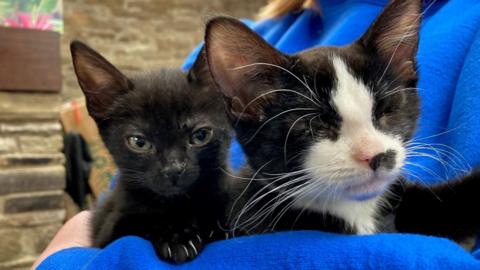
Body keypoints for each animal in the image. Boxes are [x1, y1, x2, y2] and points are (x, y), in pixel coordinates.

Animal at [70, 42, 232, 264]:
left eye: (201, 135)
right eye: (139, 142)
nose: (173, 169)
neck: (178, 204)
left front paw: (216, 226)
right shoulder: (106, 233)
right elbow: (136, 223)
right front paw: (176, 237)